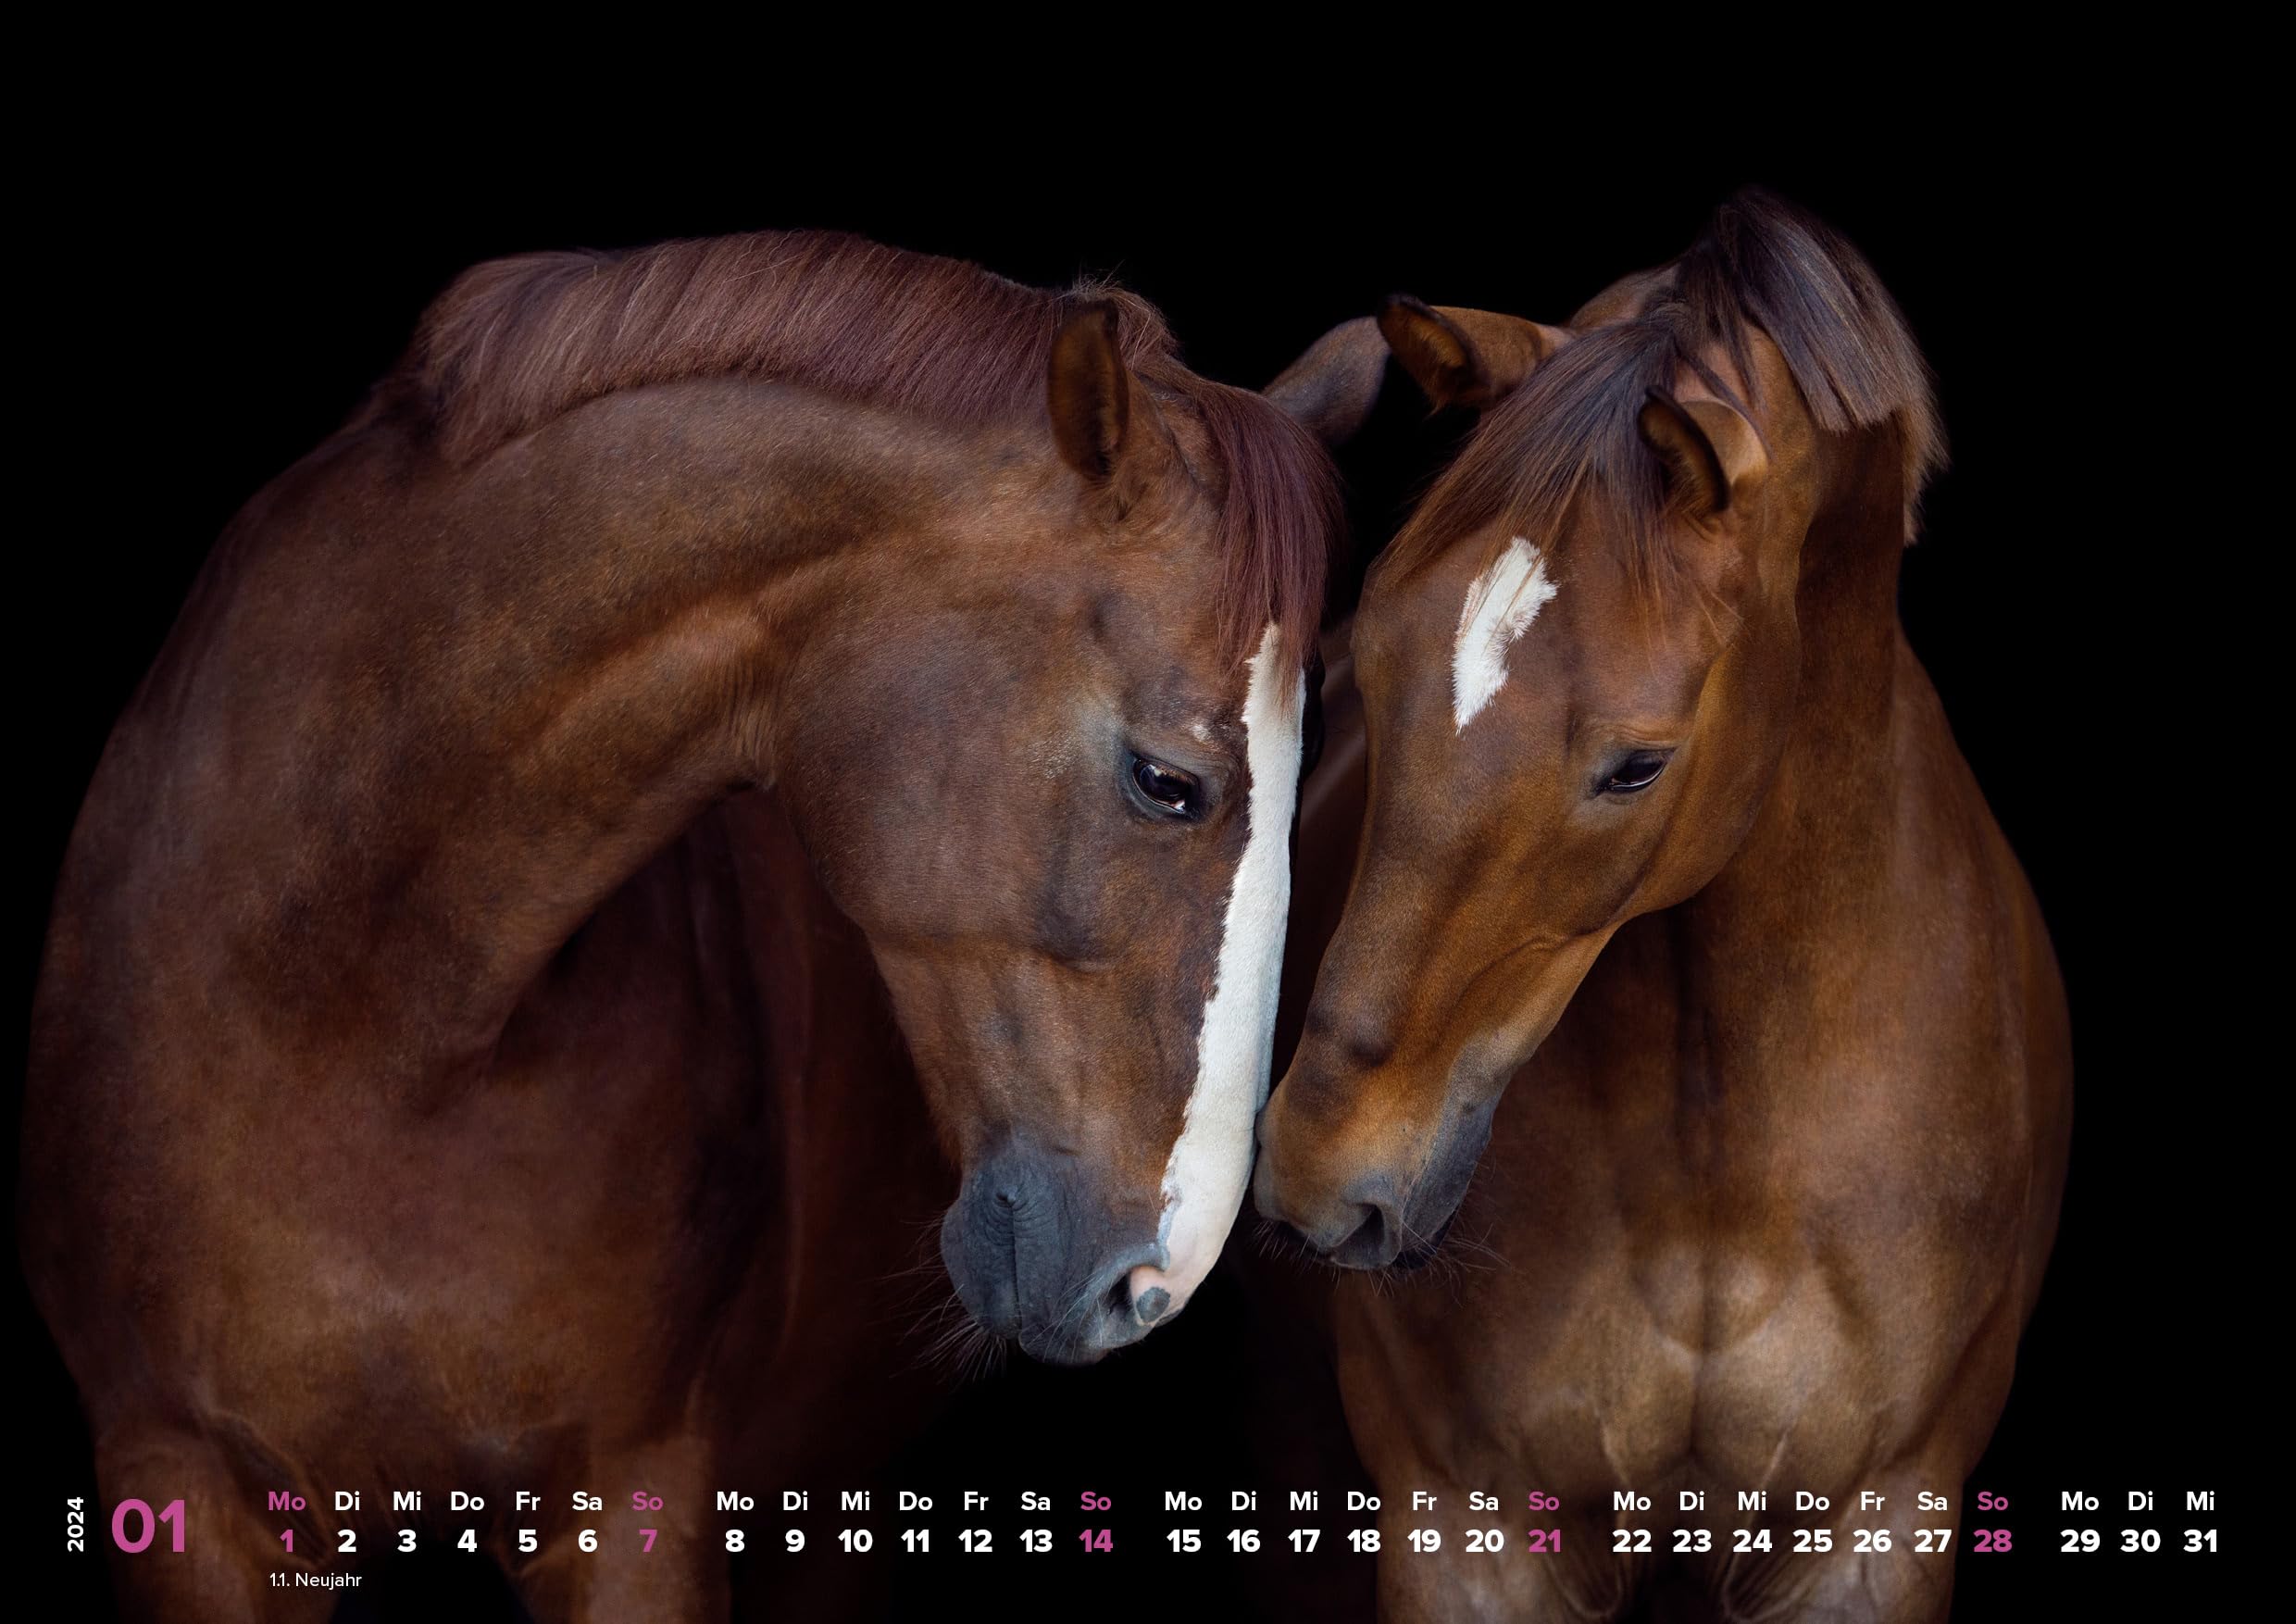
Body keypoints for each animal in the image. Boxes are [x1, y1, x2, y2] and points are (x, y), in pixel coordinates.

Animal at [1255, 191, 2072, 1622]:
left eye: (1637, 764)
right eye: (1378, 663)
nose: (1315, 1171)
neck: (1721, 1163)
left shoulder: (1876, 1527)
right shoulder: (1461, 1524)